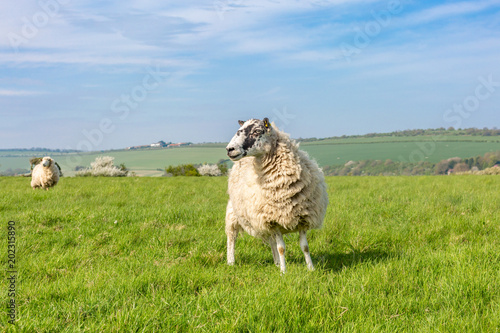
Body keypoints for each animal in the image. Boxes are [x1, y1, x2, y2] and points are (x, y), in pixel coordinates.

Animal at [226, 118, 328, 272]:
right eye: (238, 131)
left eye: (257, 131)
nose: (229, 149)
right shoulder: (273, 221)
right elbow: (281, 248)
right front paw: (283, 272)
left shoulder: (302, 218)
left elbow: (304, 247)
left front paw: (311, 269)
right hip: (234, 211)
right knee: (232, 235)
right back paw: (231, 262)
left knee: (271, 240)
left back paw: (276, 262)